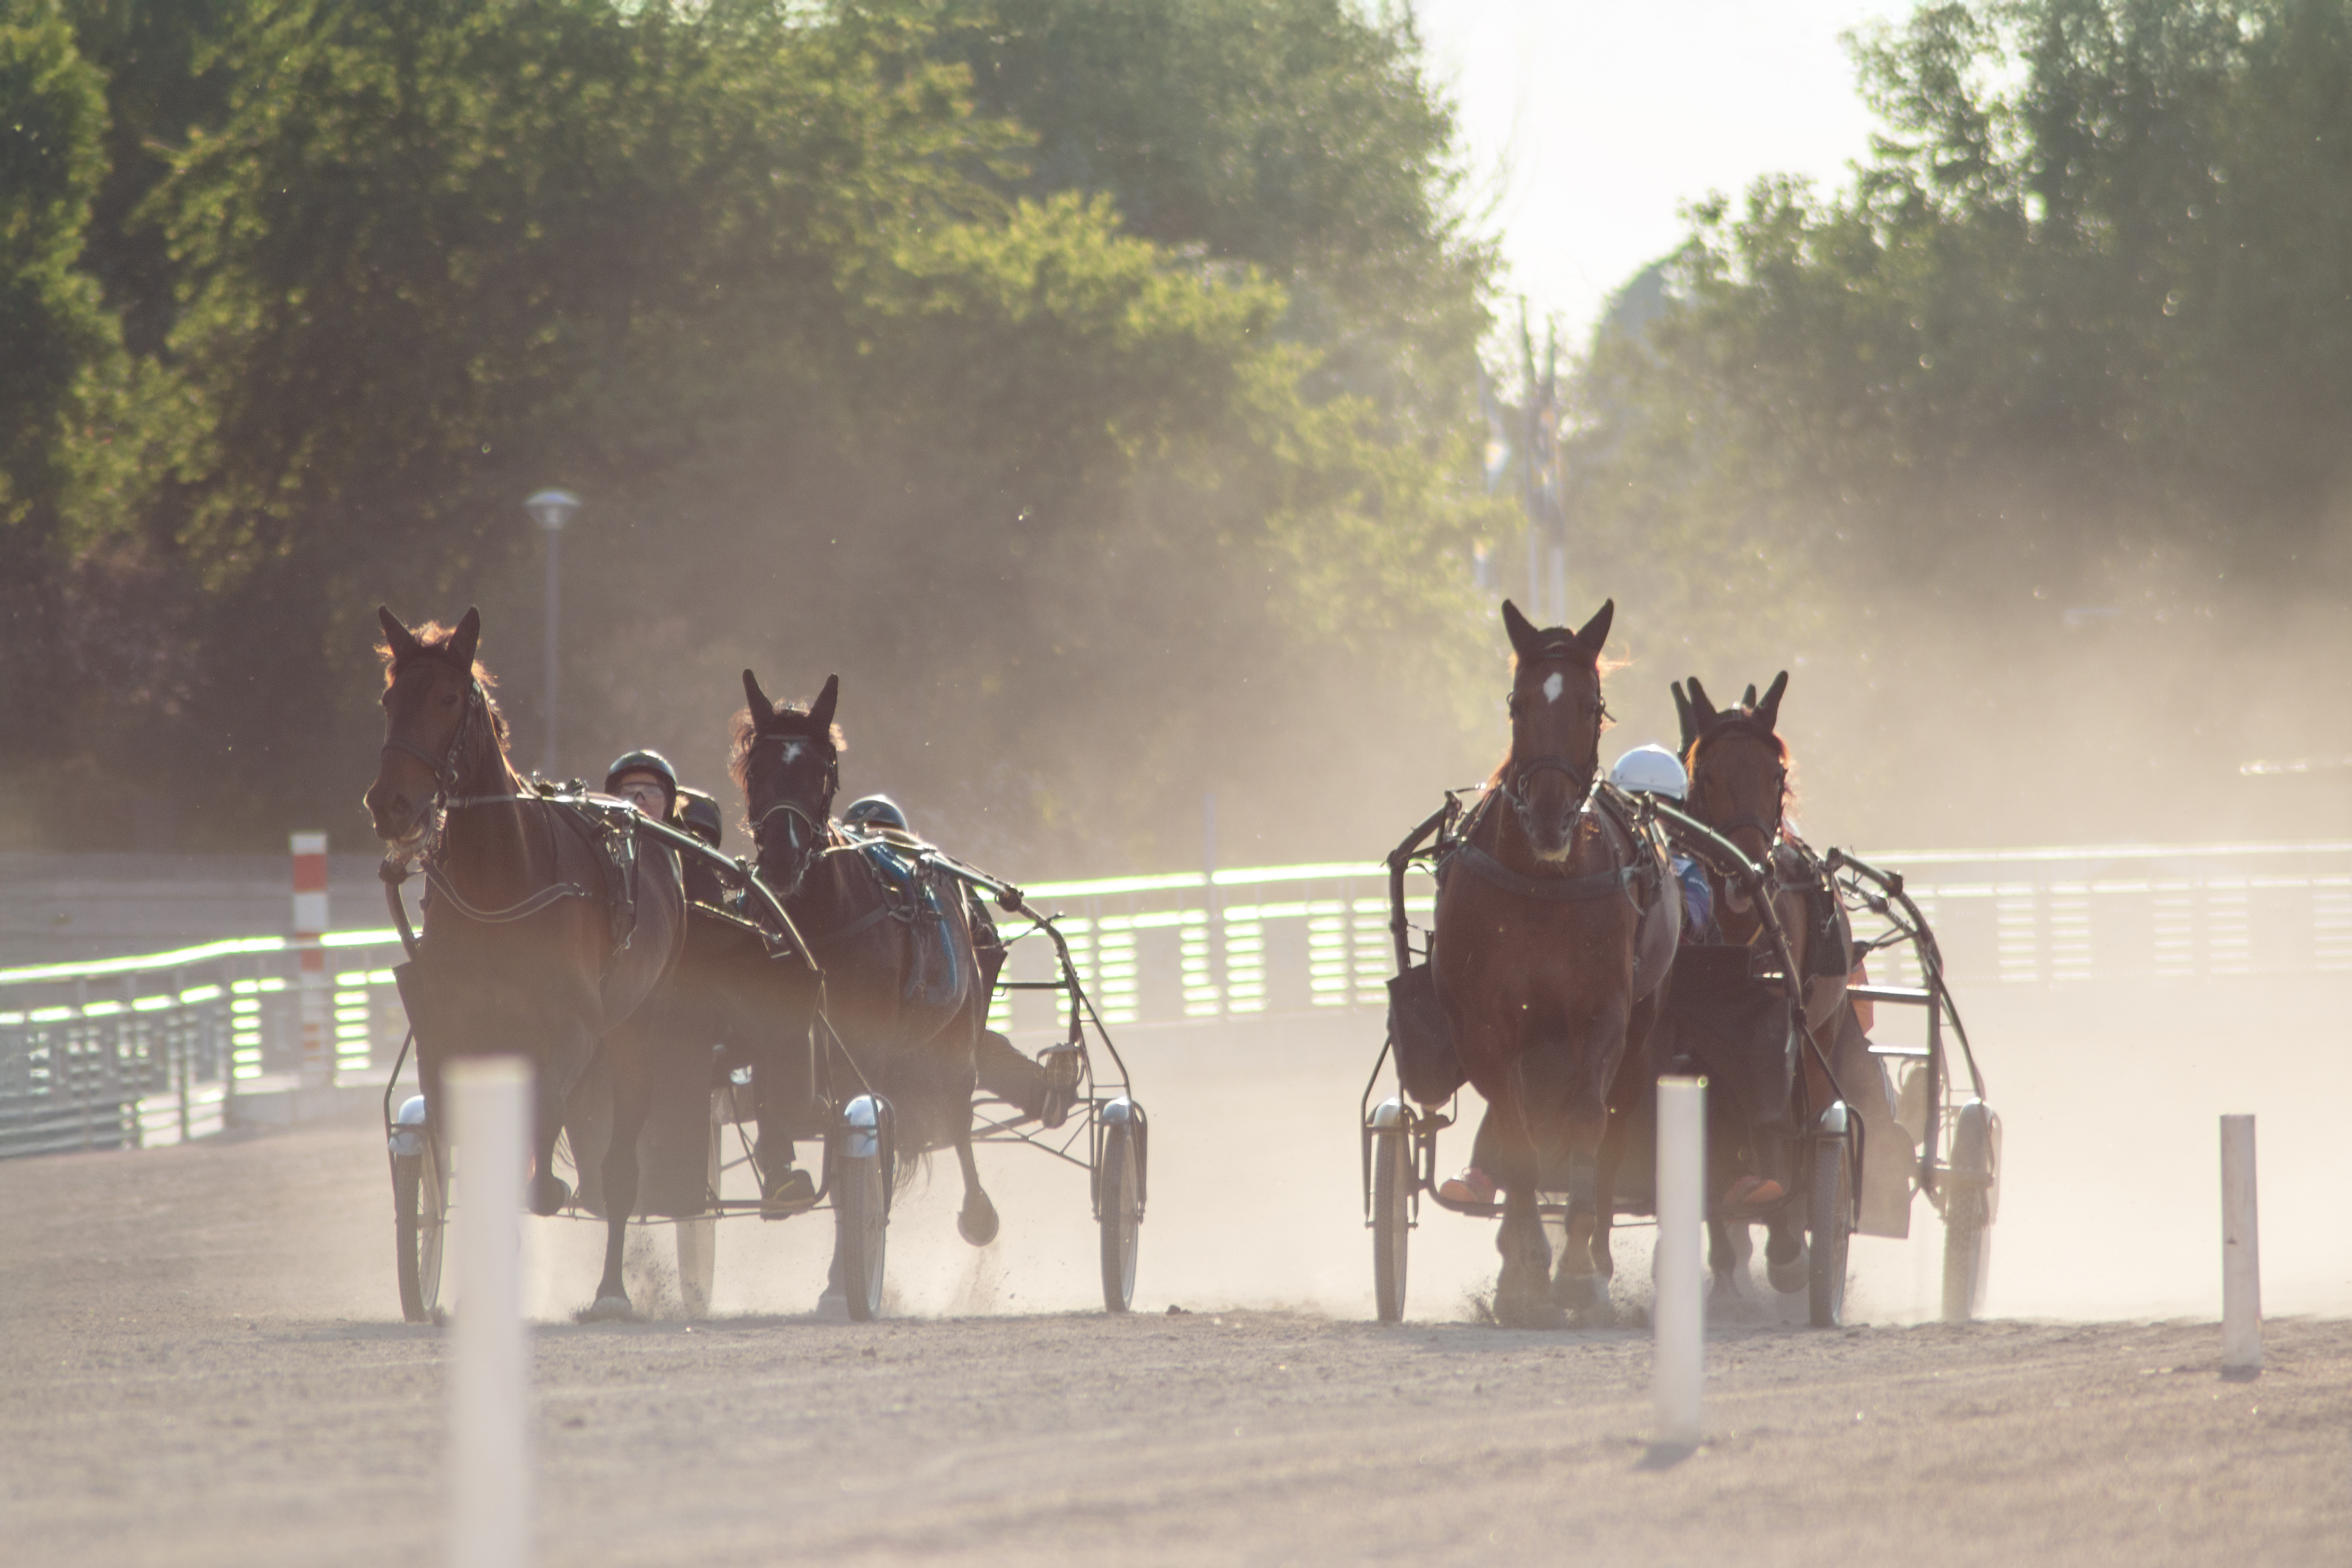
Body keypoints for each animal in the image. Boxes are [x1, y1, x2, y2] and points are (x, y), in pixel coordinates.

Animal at [363, 606, 686, 1319]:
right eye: (389, 699)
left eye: (448, 697)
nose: (389, 802)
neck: (500, 883)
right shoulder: (451, 1029)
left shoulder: (569, 1028)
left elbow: (542, 1126)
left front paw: (550, 1190)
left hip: (634, 1031)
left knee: (618, 1164)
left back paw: (611, 1288)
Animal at [733, 669, 1023, 1307]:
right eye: (755, 767)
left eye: (822, 768)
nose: (783, 856)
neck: (818, 923)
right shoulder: (777, 1027)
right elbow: (775, 1098)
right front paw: (782, 1175)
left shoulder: (863, 1049)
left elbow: (857, 1144)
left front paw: (847, 1274)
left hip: (952, 1042)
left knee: (957, 1118)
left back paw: (977, 1214)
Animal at [1431, 600, 1680, 1329]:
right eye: (1517, 703)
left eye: (1591, 706)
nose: (1547, 816)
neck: (1543, 880)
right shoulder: (1486, 1025)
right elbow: (1516, 1132)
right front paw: (1523, 1273)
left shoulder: (1603, 1015)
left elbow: (1587, 1122)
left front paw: (1574, 1270)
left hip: (1640, 1026)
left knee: (1614, 1120)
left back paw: (1594, 1253)